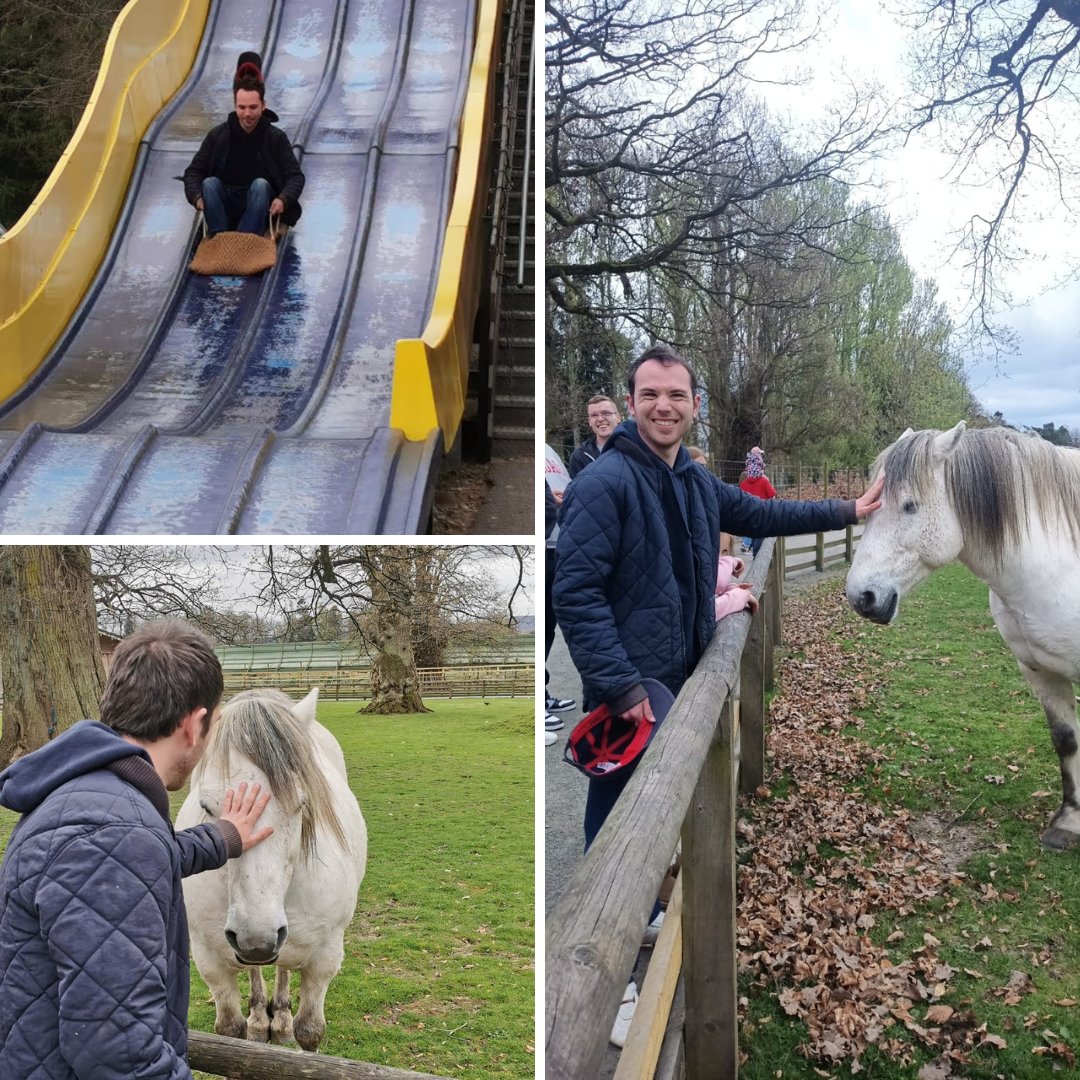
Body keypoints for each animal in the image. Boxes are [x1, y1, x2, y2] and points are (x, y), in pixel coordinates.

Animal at [174, 686, 365, 1049]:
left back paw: (281, 1017)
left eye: (302, 802)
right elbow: (229, 1030)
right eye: (206, 805)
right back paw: (261, 1018)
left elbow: (310, 1031)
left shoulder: (324, 959)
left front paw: (289, 1025)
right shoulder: (209, 959)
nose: (256, 939)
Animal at [846, 423, 1080, 851]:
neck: (1060, 564)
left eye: (910, 506)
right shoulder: (1041, 671)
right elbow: (1065, 739)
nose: (861, 597)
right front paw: (1069, 822)